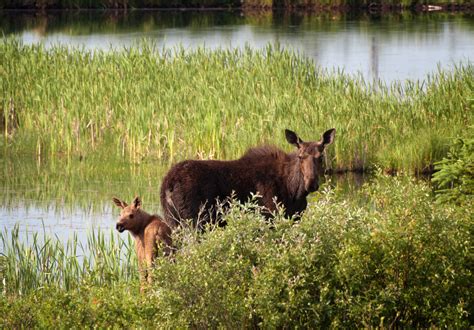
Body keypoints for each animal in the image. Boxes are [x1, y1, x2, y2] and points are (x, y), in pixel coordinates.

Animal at [161, 129, 336, 229]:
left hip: (173, 222)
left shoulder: (296, 217)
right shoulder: (270, 216)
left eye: (321, 157)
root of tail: (168, 185)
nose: (311, 183)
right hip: (195, 222)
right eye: (300, 157)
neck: (294, 191)